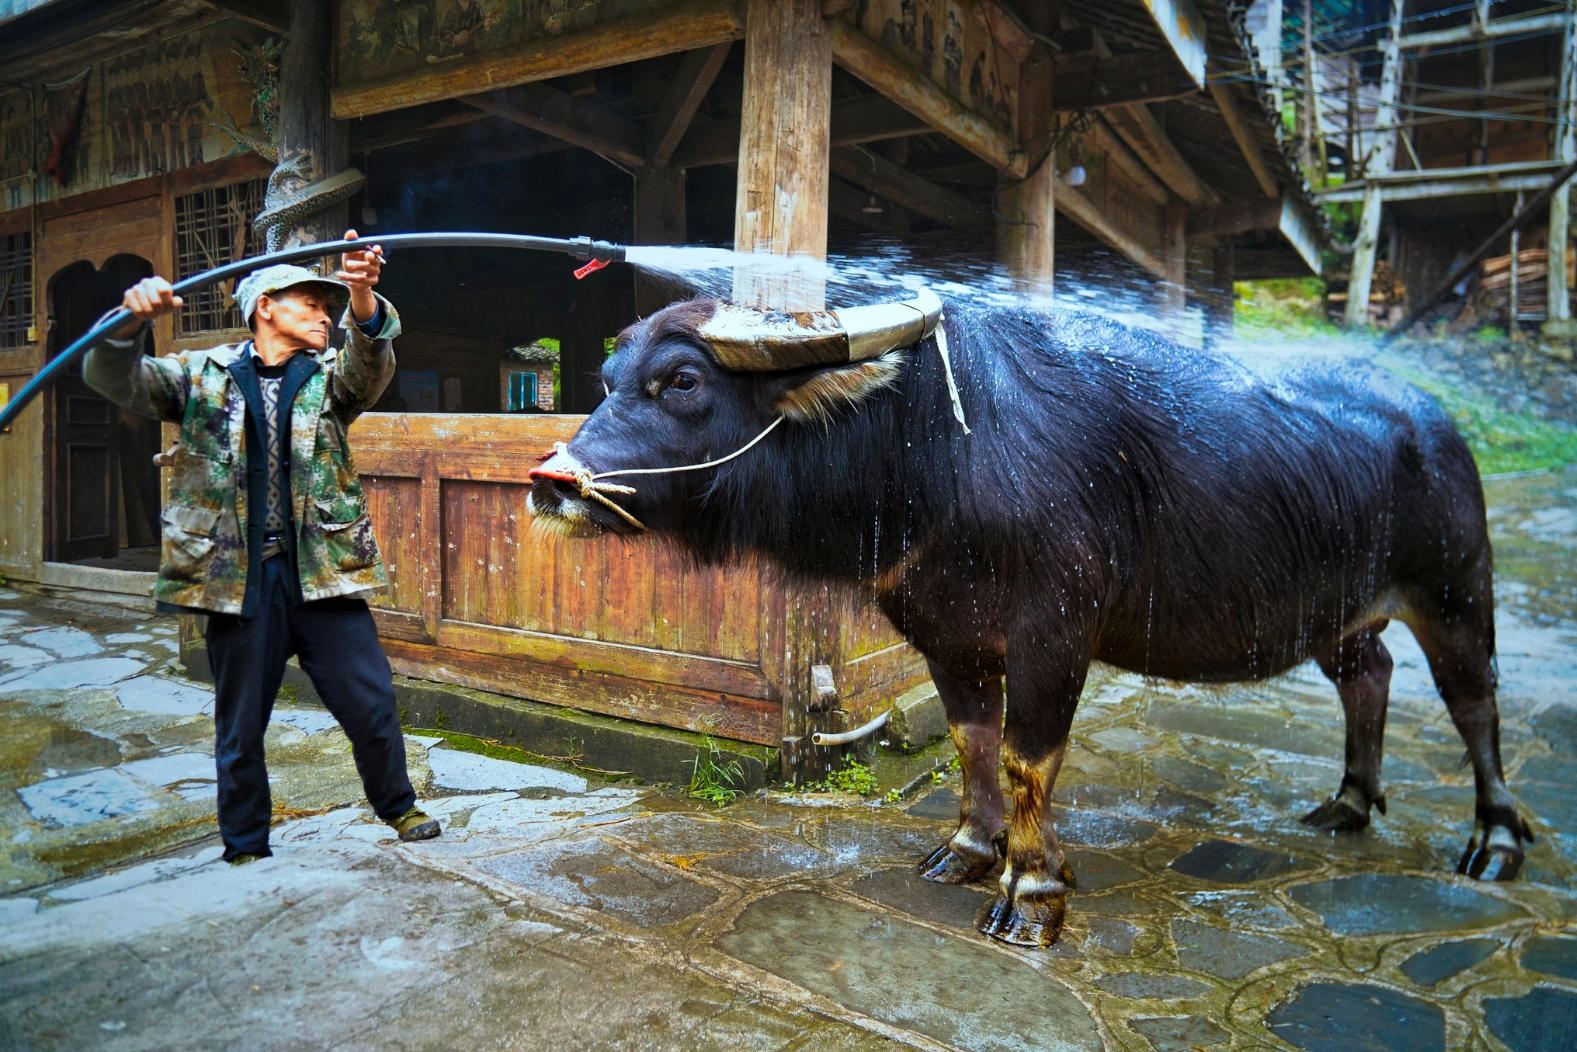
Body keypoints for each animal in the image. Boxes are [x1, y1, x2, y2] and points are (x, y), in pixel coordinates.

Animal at [527, 290, 1531, 946]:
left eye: (681, 380)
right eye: (607, 377)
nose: (550, 480)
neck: (933, 450)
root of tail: (1435, 422)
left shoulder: (1055, 633)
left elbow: (1024, 758)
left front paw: (1032, 891)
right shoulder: (946, 635)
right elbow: (971, 742)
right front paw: (970, 851)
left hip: (1454, 588)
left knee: (1472, 699)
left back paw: (1492, 841)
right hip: (1340, 616)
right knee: (1370, 677)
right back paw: (1349, 802)